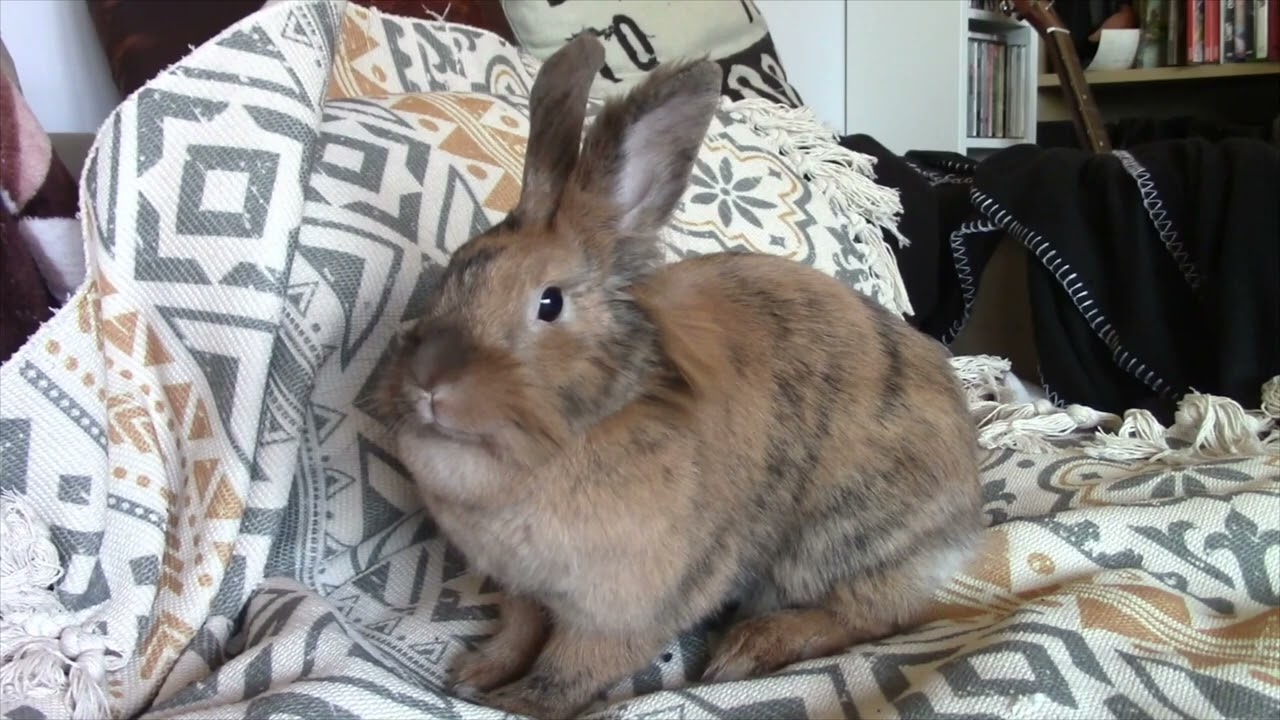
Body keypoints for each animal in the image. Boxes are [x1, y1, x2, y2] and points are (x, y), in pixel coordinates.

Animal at [378, 32, 986, 720]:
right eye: (453, 271)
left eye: (549, 303)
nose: (429, 384)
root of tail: (964, 517)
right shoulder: (521, 589)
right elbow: (518, 629)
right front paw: (475, 674)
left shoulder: (626, 604)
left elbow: (572, 666)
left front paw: (518, 703)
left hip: (843, 542)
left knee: (874, 615)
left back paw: (749, 648)